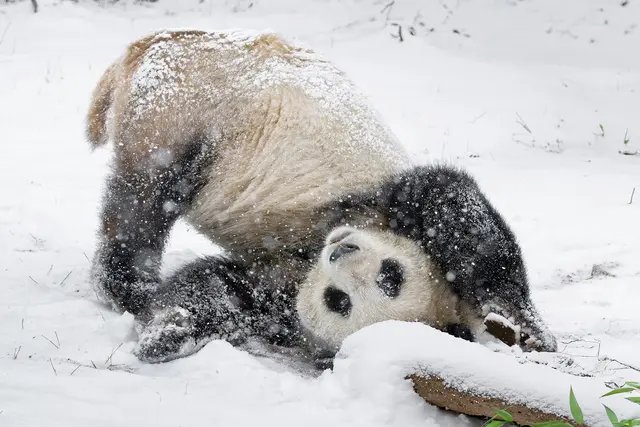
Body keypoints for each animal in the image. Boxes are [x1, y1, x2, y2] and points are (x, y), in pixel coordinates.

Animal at [85, 29, 557, 364]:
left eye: (339, 301)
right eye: (392, 273)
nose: (341, 250)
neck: (311, 250)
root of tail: (148, 45)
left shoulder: (281, 290)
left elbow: (223, 287)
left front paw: (169, 332)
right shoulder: (383, 207)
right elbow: (454, 208)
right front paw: (527, 327)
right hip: (184, 110)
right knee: (144, 202)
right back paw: (132, 286)